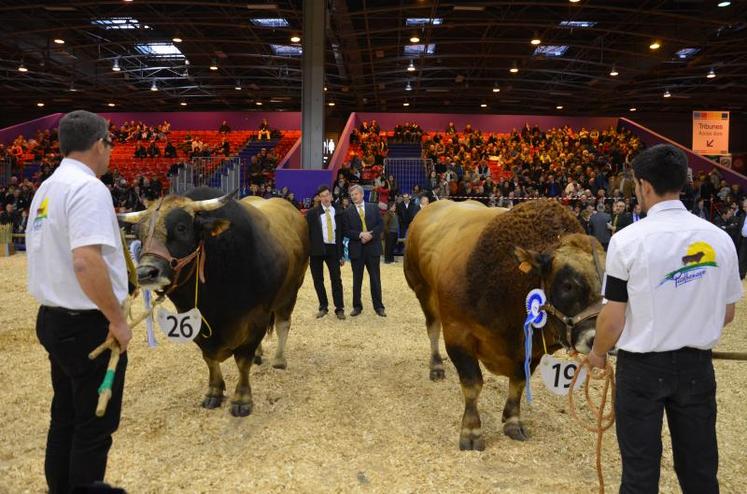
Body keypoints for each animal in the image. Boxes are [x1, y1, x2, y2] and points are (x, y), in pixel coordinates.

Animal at [406, 199, 604, 450]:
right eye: (568, 284)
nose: (598, 338)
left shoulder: (531, 349)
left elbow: (518, 383)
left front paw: (512, 422)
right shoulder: (458, 334)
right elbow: (472, 384)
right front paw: (471, 431)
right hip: (423, 291)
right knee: (432, 329)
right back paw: (436, 366)